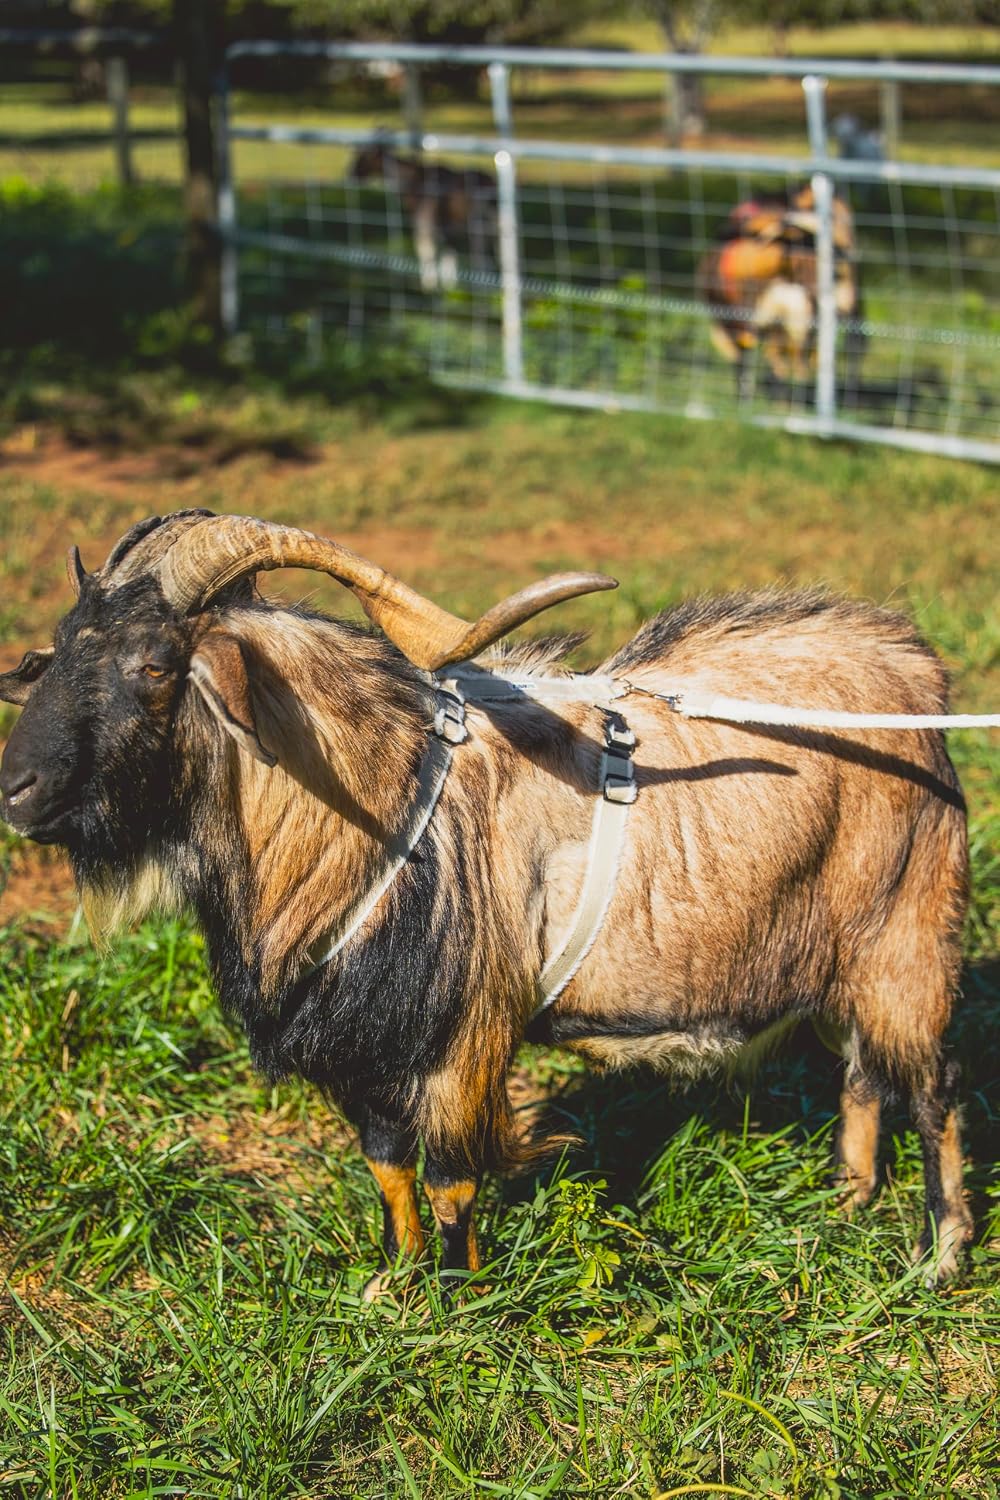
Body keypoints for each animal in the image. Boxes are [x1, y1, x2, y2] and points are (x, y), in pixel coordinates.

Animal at [0, 512, 973, 1291]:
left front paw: (460, 1298)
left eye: (156, 664)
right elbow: (388, 1169)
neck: (378, 808)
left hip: (909, 938)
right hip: (848, 957)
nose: (16, 787)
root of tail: (919, 674)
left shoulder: (463, 1038)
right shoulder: (366, 1049)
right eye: (59, 647)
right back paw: (849, 1201)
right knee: (862, 1074)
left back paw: (942, 1253)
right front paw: (393, 1283)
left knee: (934, 1090)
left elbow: (450, 1181)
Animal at [349, 141, 497, 291]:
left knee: (481, 255)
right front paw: (448, 286)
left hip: (477, 225)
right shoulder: (445, 225)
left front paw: (429, 286)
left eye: (366, 155)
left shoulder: (424, 220)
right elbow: (448, 253)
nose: (351, 174)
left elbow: (425, 250)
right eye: (355, 152)